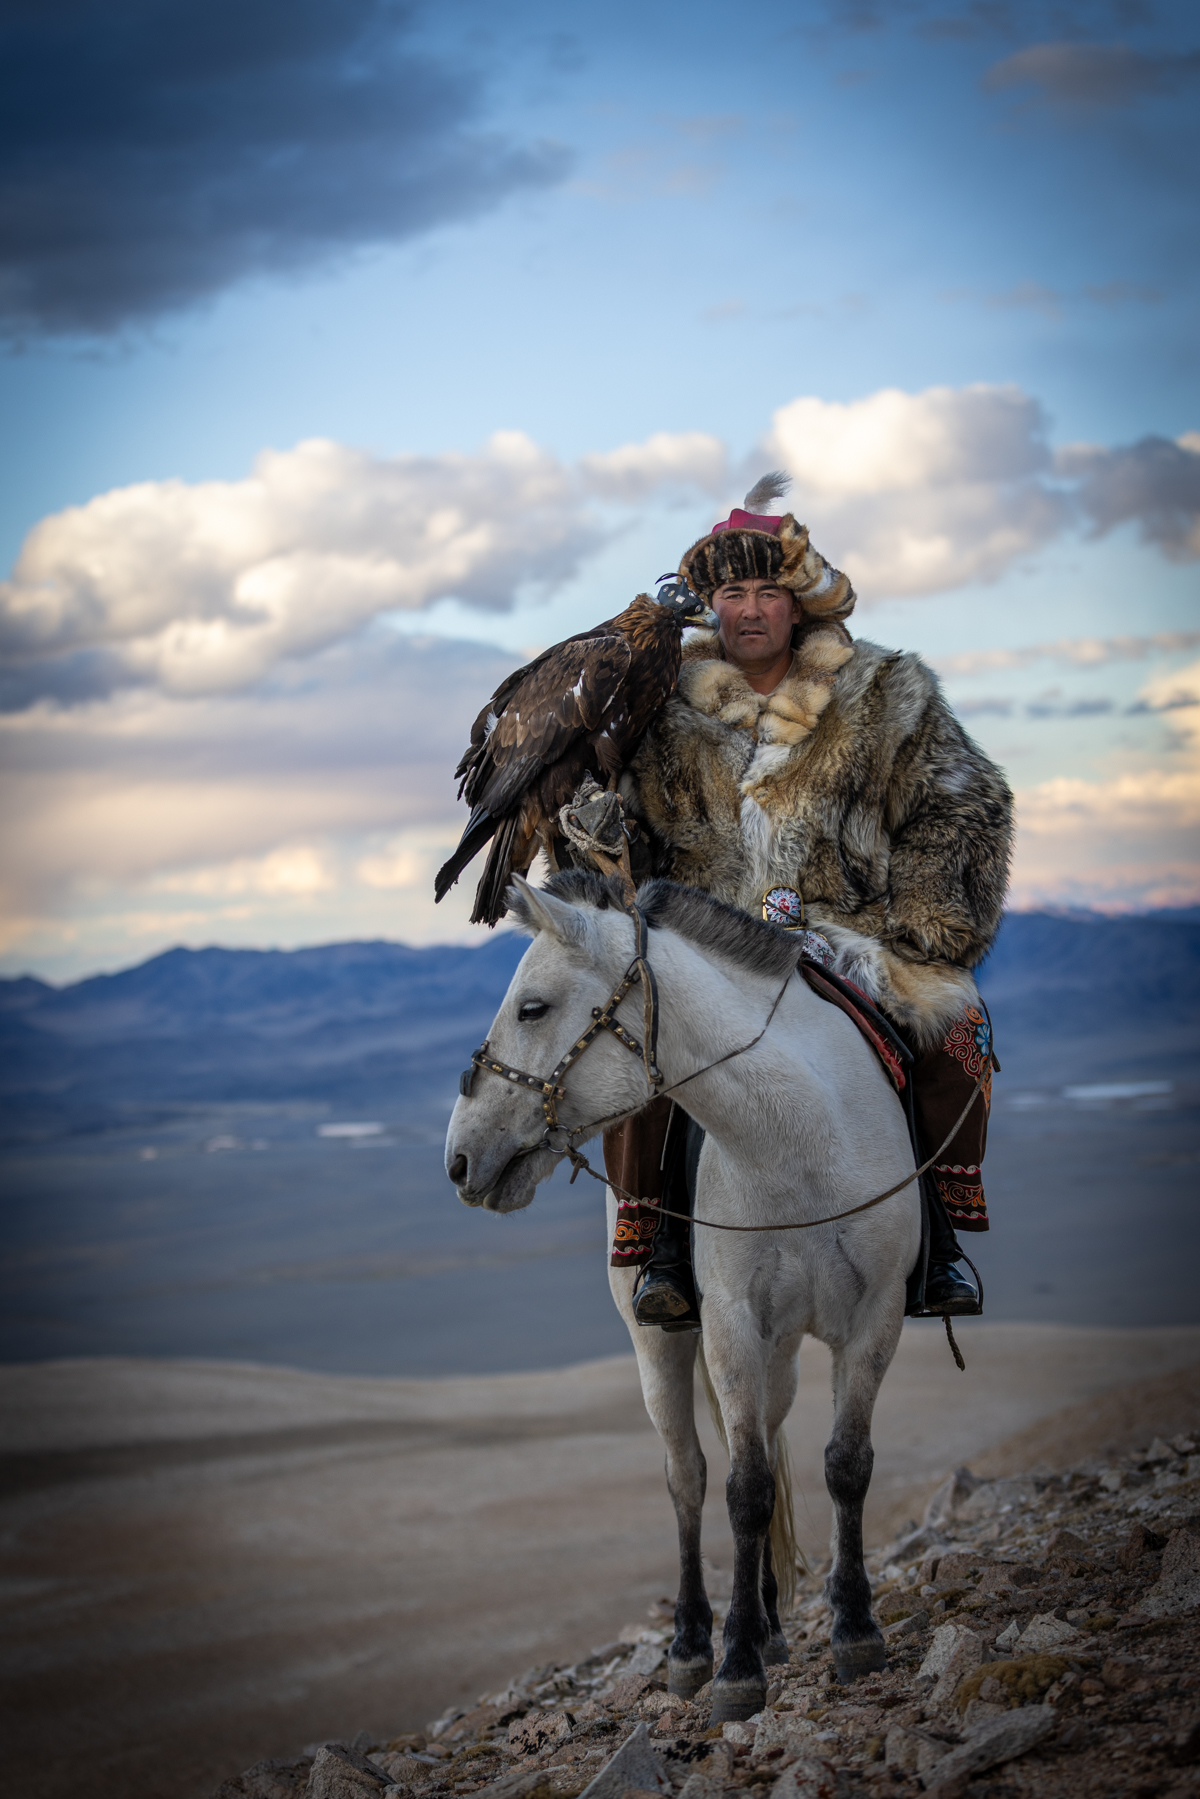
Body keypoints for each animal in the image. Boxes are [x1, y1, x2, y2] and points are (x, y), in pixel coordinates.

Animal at [444, 870, 920, 1721]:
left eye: (532, 1006)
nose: (459, 1157)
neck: (799, 1140)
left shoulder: (876, 1317)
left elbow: (844, 1465)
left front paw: (855, 1631)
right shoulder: (730, 1323)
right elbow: (743, 1488)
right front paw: (734, 1668)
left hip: (782, 1355)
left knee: (759, 1444)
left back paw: (769, 1625)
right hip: (663, 1344)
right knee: (690, 1474)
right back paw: (696, 1643)